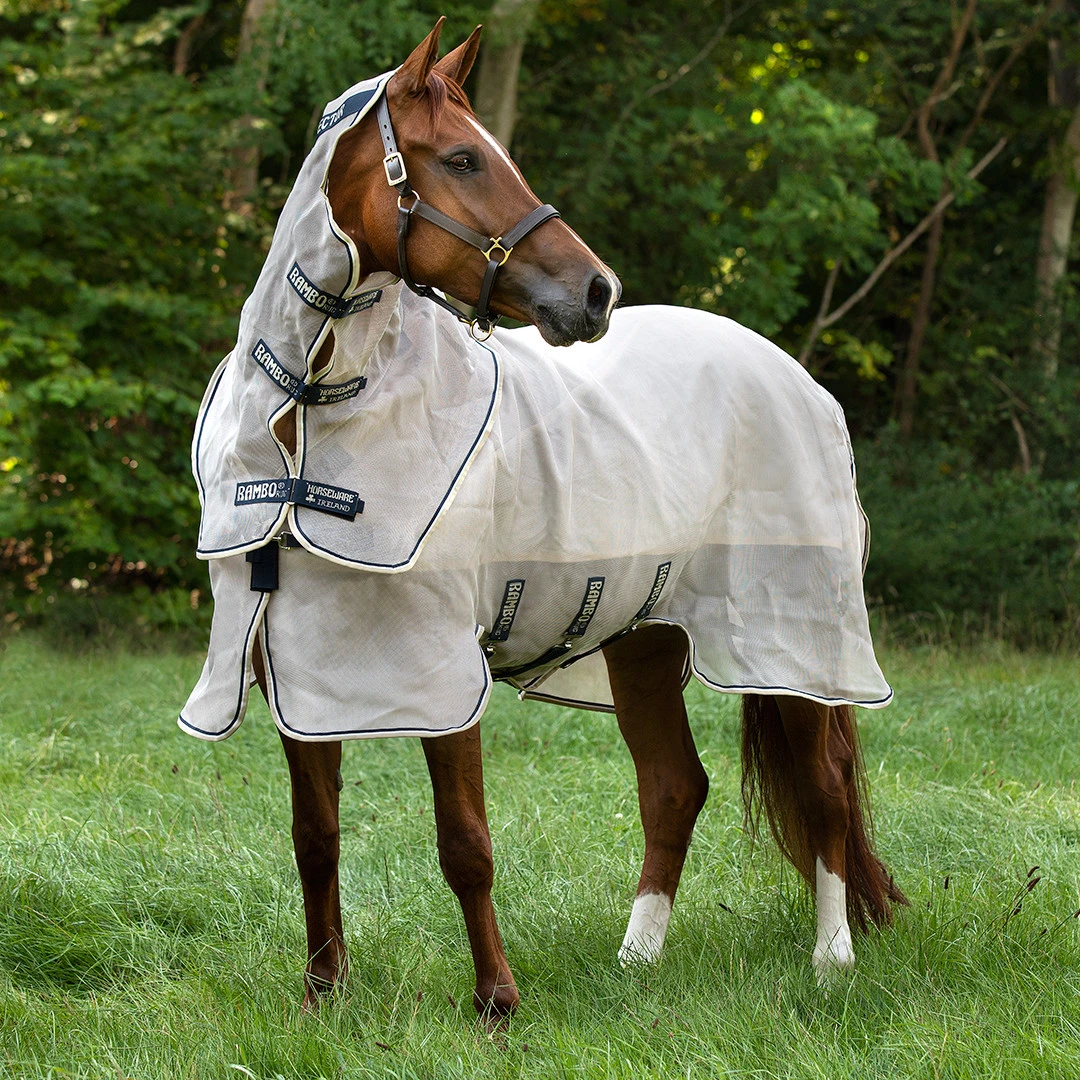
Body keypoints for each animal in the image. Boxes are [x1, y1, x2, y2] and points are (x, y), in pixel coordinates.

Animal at [179, 19, 906, 1023]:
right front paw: (323, 994)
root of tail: (796, 377)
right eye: (461, 158)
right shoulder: (301, 672)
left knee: (825, 790)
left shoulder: (443, 672)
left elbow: (464, 843)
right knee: (675, 787)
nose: (596, 292)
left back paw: (830, 960)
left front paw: (496, 1001)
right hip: (645, 639)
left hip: (791, 640)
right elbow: (314, 835)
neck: (314, 418)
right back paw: (637, 961)